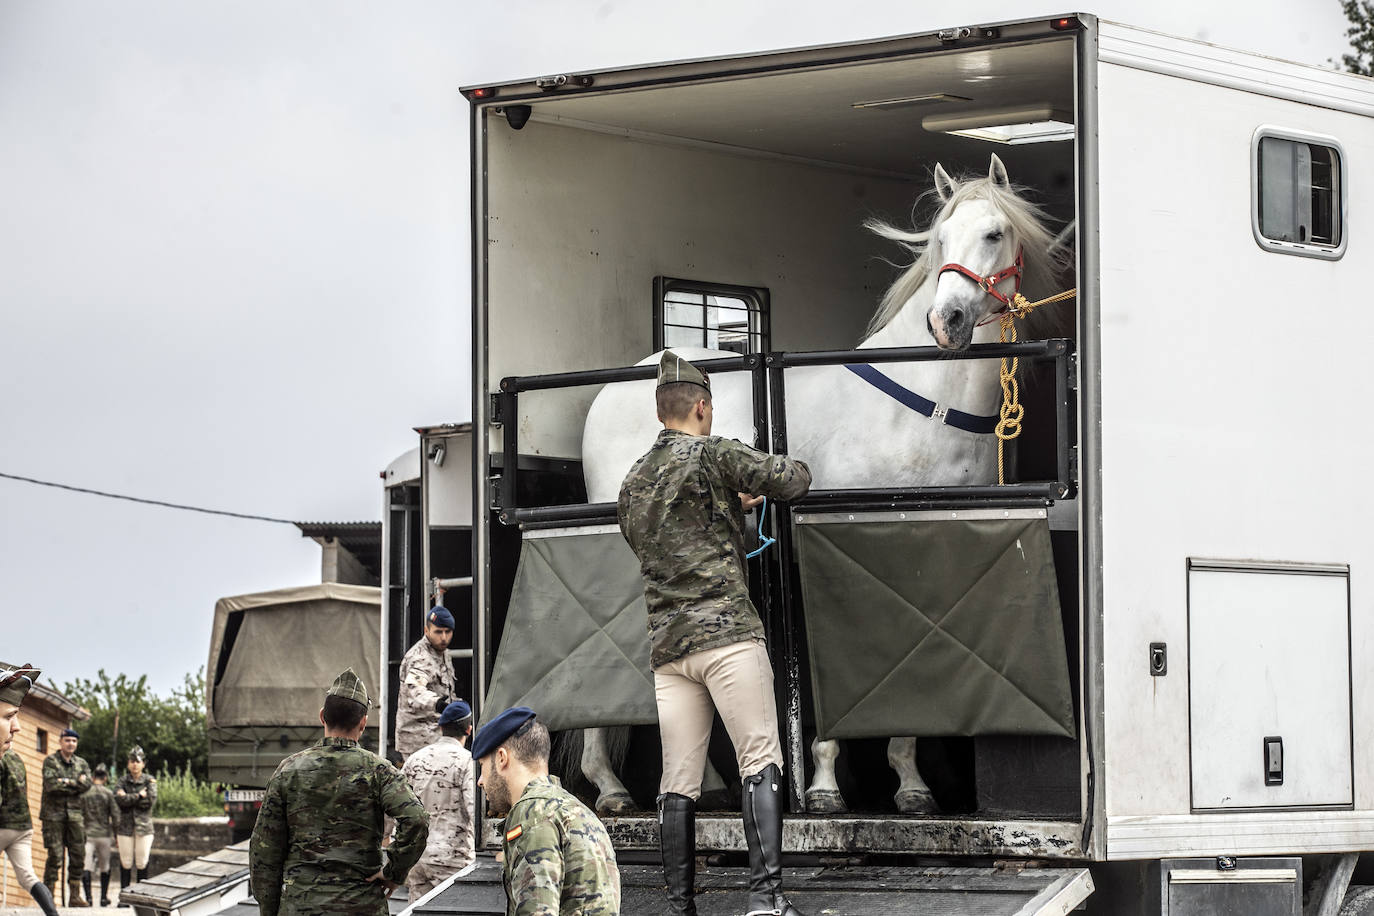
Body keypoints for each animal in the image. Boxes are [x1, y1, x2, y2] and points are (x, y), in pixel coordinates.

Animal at [574, 155, 1066, 818]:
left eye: (994, 233)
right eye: (940, 239)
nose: (947, 322)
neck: (924, 403)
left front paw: (910, 784)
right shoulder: (829, 540)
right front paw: (826, 785)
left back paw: (704, 783)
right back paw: (609, 786)